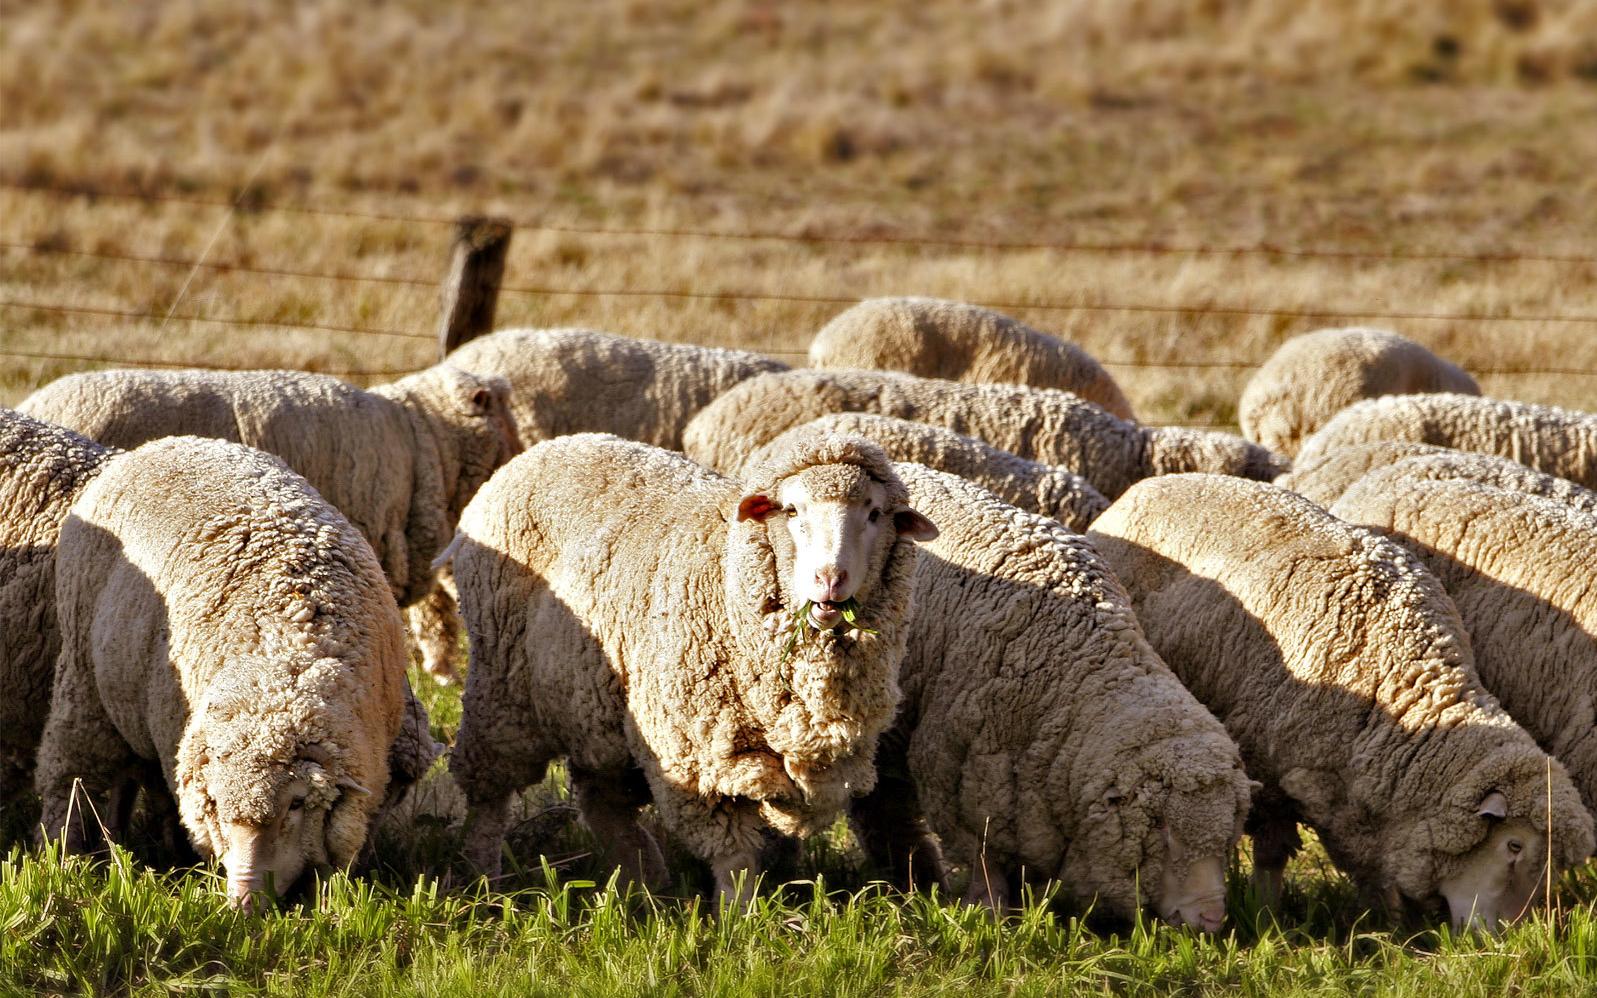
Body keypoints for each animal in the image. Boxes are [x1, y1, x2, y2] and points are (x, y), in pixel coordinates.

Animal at [35, 437, 412, 908]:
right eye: (216, 805)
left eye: (296, 804)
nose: (243, 903)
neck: (284, 659)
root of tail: (160, 443)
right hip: (83, 676)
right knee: (69, 773)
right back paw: (61, 856)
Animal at [445, 431, 937, 906]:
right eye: (792, 509)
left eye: (874, 514)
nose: (830, 580)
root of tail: (543, 449)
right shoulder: (696, 757)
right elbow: (734, 855)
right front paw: (738, 918)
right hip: (501, 684)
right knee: (490, 793)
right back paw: (484, 878)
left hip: (596, 707)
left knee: (601, 797)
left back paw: (644, 882)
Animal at [849, 464, 1253, 930]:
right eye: (1164, 832)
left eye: (1229, 834)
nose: (1212, 918)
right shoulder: (960, 781)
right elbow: (985, 862)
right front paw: (989, 913)